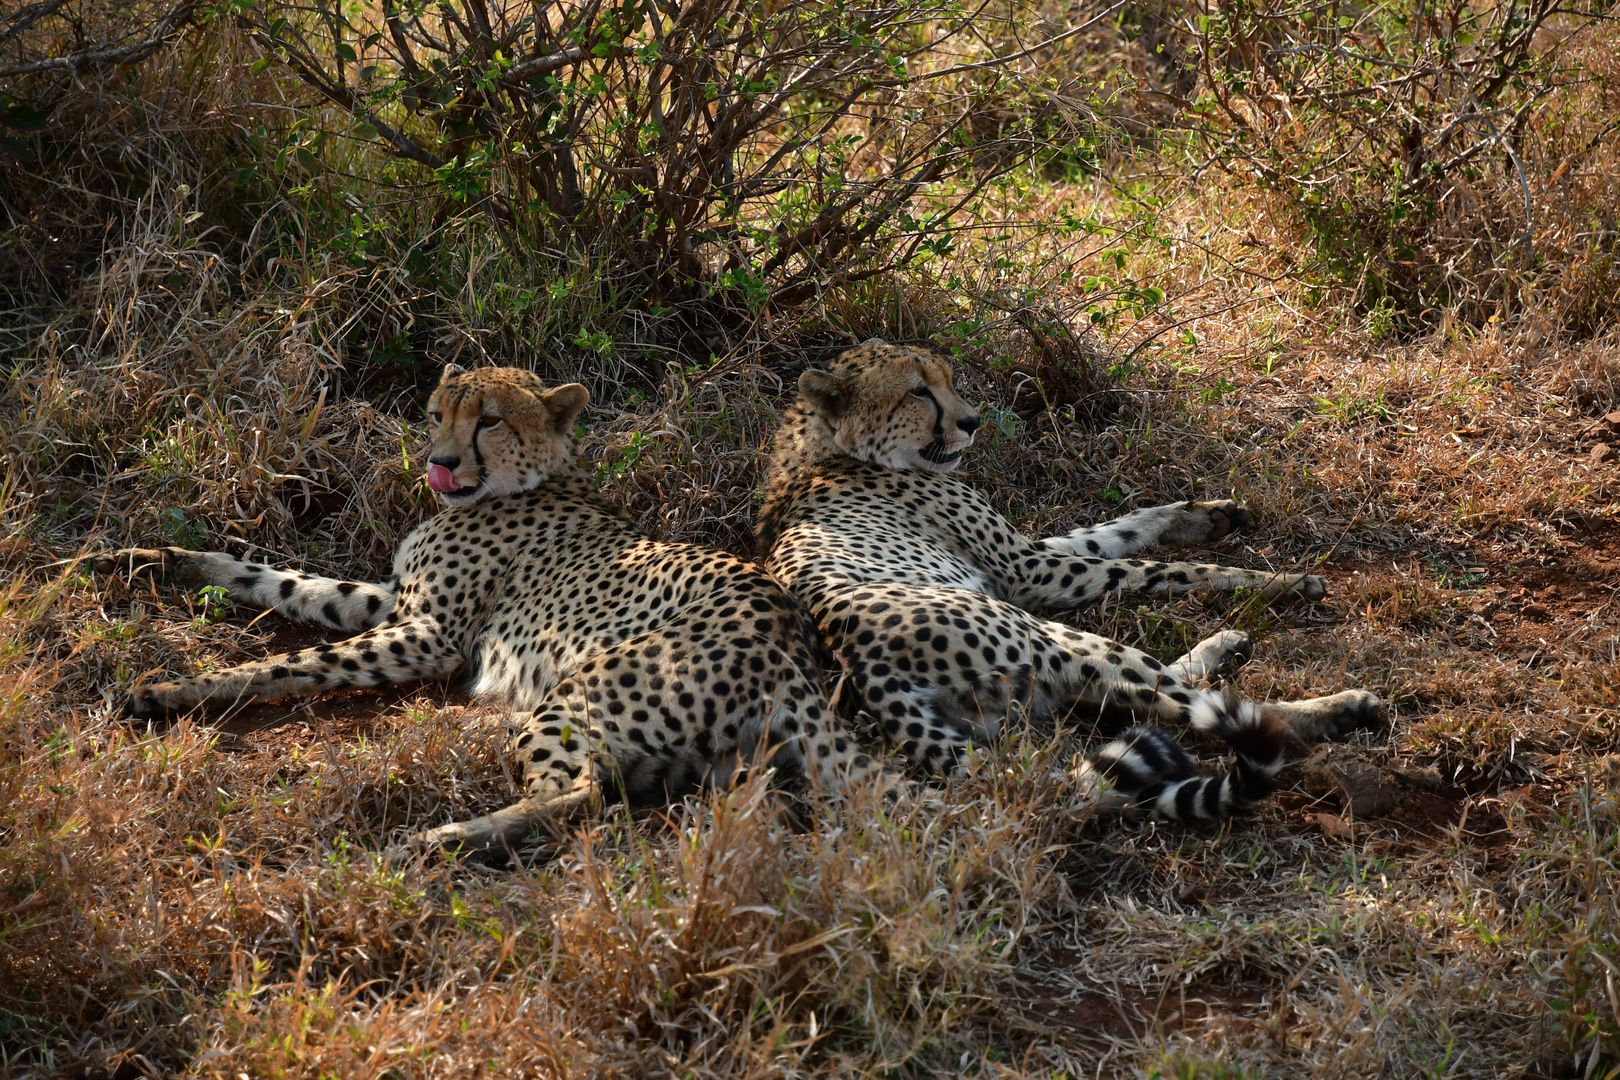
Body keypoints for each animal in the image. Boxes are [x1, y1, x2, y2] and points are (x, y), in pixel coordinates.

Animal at [98, 362, 874, 854]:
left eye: (491, 422)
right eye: (437, 414)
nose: (439, 463)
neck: (523, 483)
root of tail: (793, 645)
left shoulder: (430, 635)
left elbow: (289, 662)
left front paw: (173, 689)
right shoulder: (394, 601)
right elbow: (280, 581)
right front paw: (150, 560)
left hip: (580, 692)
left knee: (582, 798)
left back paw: (433, 843)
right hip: (694, 759)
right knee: (610, 795)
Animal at [754, 338, 1380, 819]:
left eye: (947, 379)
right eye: (917, 390)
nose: (971, 422)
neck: (821, 453)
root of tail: (862, 670)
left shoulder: (1033, 555)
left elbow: (1117, 529)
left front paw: (1205, 515)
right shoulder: (1027, 571)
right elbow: (1157, 568)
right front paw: (1281, 580)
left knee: (1143, 698)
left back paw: (1225, 644)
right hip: (1045, 635)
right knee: (1188, 704)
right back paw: (1337, 707)